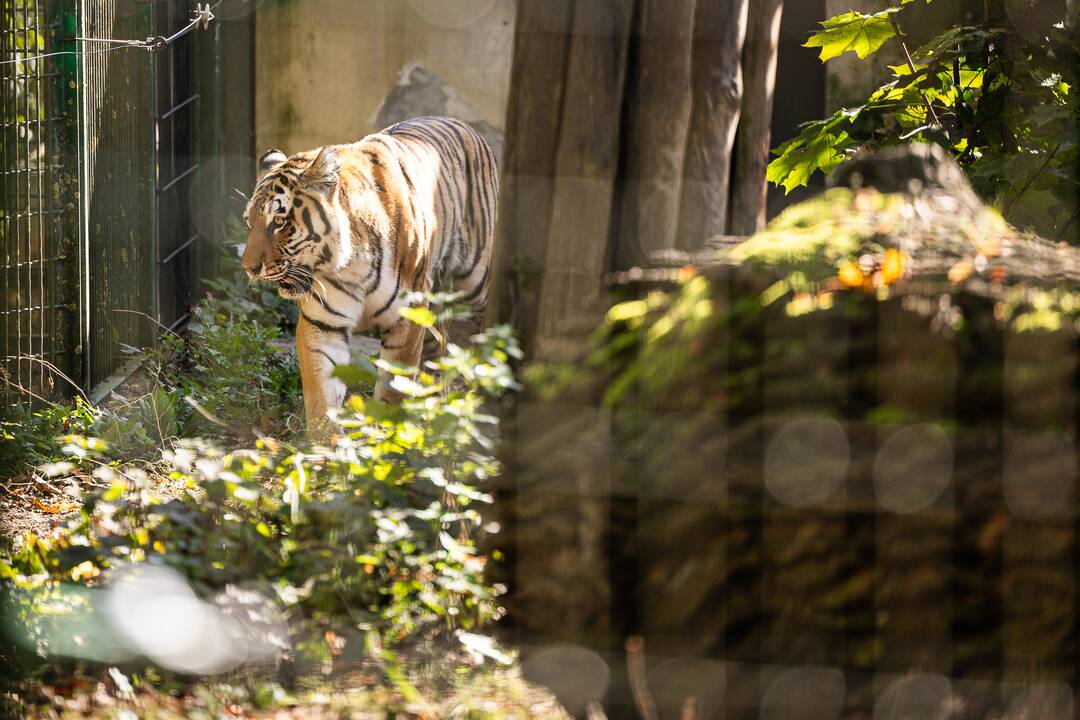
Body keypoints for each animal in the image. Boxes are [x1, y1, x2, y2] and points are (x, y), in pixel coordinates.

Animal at [240, 115, 496, 425]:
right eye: (248, 222)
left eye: (279, 221)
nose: (249, 268)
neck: (351, 265)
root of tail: (460, 122)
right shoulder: (323, 323)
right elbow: (321, 395)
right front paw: (325, 437)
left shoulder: (407, 315)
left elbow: (393, 389)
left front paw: (387, 431)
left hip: (476, 281)